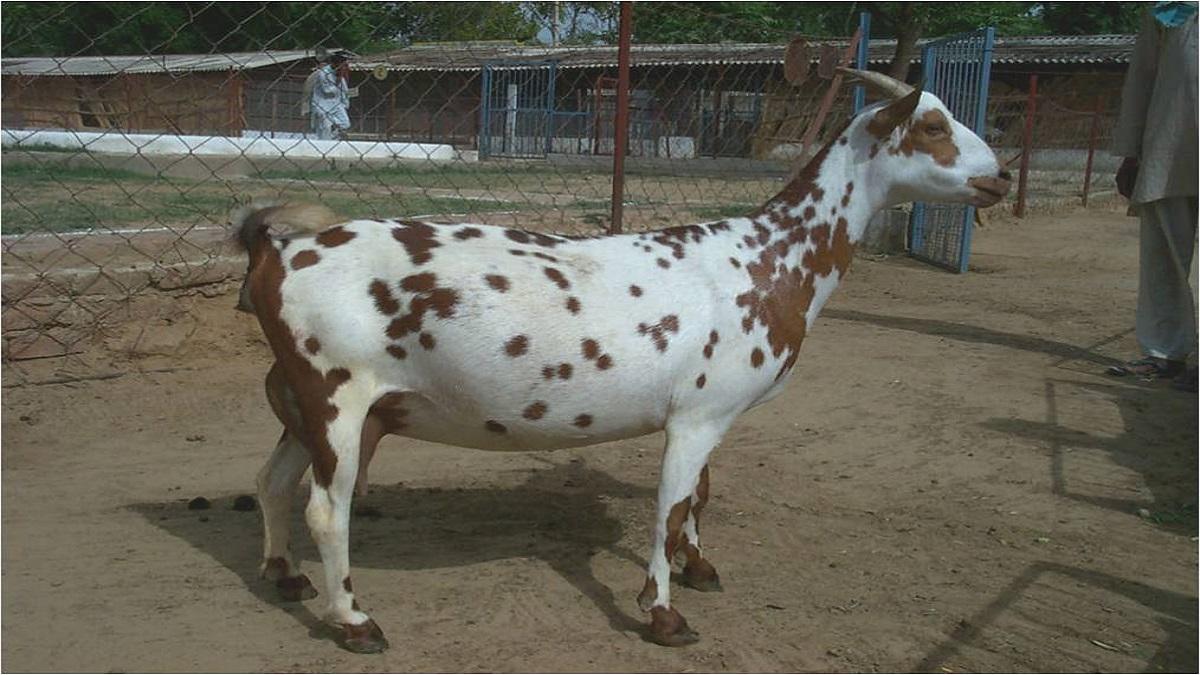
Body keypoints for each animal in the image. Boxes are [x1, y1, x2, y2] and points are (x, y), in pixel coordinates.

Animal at [233, 70, 1011, 653]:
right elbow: (669, 508)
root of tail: (278, 250)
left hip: (304, 400)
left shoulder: (711, 412)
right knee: (325, 508)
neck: (768, 260)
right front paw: (664, 614)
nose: (1000, 178)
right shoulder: (696, 416)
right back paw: (354, 621)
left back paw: (283, 575)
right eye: (933, 128)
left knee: (272, 479)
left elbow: (699, 496)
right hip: (338, 394)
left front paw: (700, 567)